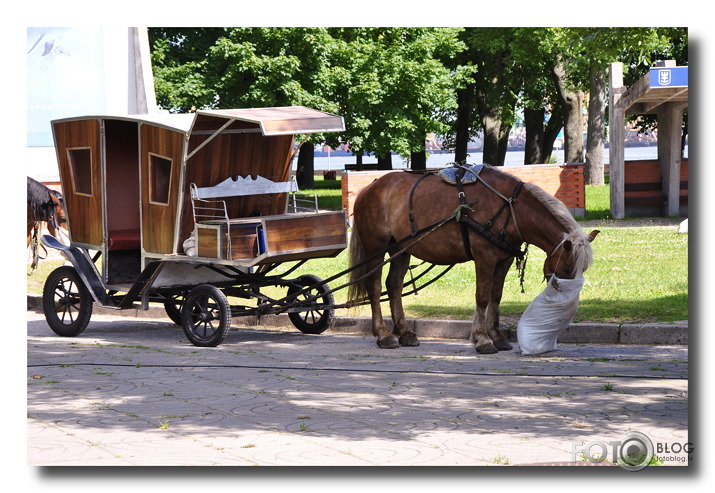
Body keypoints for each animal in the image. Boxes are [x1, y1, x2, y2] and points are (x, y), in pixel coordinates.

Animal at [346, 165, 600, 354]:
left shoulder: (504, 259)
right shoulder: (485, 257)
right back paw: (383, 334)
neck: (511, 208)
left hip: (401, 248)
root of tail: (369, 187)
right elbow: (482, 297)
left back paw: (405, 332)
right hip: (376, 247)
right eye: (566, 269)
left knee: (394, 285)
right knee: (375, 287)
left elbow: (495, 297)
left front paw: (497, 336)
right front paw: (482, 339)